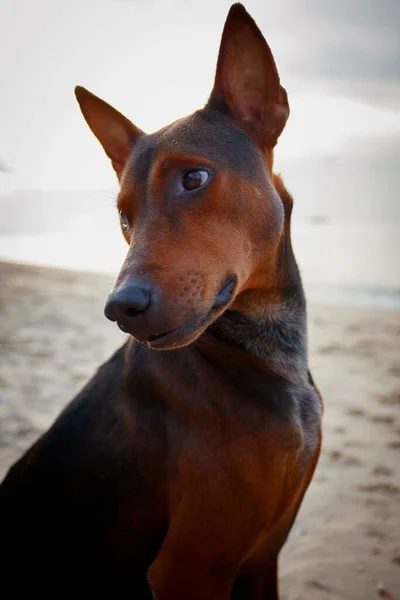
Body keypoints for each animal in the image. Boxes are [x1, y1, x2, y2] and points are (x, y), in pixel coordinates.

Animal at [0, 4, 322, 600]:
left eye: (194, 177)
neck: (265, 347)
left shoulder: (263, 559)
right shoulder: (190, 565)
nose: (120, 308)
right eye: (125, 217)